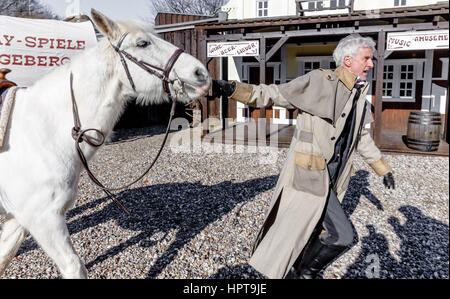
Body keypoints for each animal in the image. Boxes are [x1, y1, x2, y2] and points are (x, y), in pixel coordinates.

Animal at [0, 9, 211, 282]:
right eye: (142, 43)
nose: (200, 73)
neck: (44, 133)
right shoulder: (44, 219)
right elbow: (74, 267)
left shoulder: (19, 220)